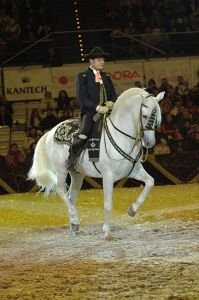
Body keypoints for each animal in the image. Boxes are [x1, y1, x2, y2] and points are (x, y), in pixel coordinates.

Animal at [28, 86, 165, 239]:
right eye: (145, 116)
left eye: (157, 117)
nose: (149, 142)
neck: (120, 136)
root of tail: (50, 131)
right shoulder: (108, 176)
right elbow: (108, 204)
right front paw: (107, 232)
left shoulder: (134, 171)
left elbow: (150, 182)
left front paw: (132, 210)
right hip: (61, 170)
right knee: (60, 190)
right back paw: (75, 220)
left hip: (77, 174)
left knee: (71, 196)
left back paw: (74, 224)